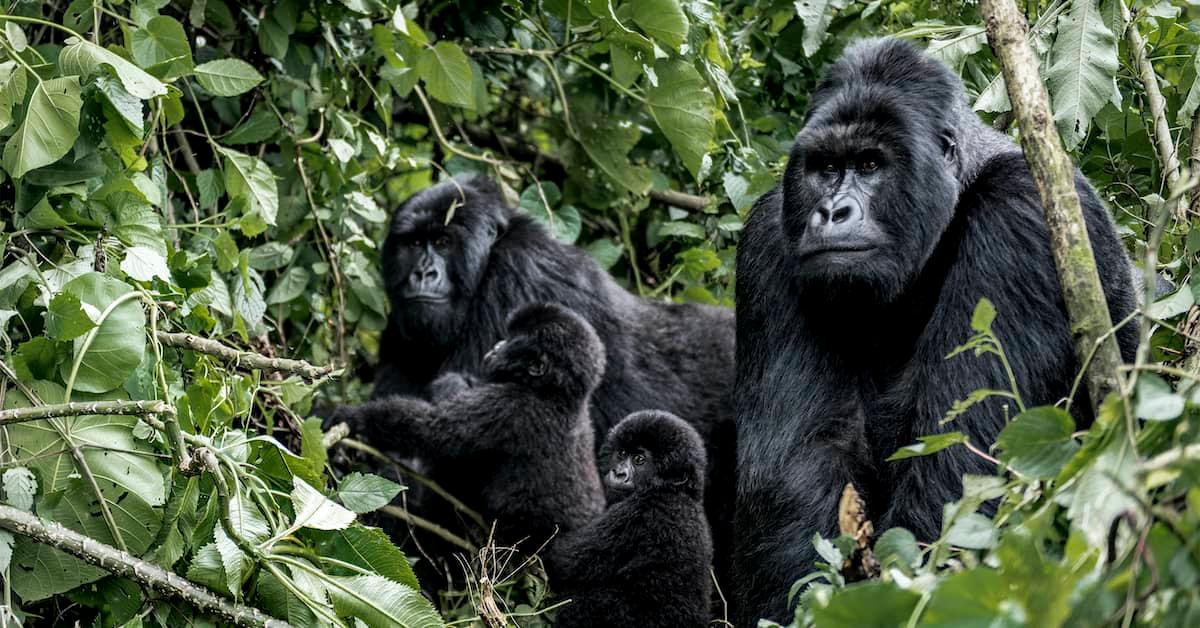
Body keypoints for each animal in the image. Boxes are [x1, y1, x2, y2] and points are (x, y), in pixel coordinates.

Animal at [333, 302, 604, 542]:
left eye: (512, 341)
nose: (497, 346)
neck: (557, 393)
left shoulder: (508, 405)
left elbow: (432, 430)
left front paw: (355, 416)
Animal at [549, 413, 715, 628]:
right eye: (621, 454)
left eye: (639, 460)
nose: (619, 473)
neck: (676, 491)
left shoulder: (638, 512)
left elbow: (563, 558)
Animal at [729, 39, 1132, 624]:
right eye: (825, 167)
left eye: (870, 164)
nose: (831, 211)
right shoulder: (769, 235)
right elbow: (798, 466)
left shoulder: (1022, 210)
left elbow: (962, 467)